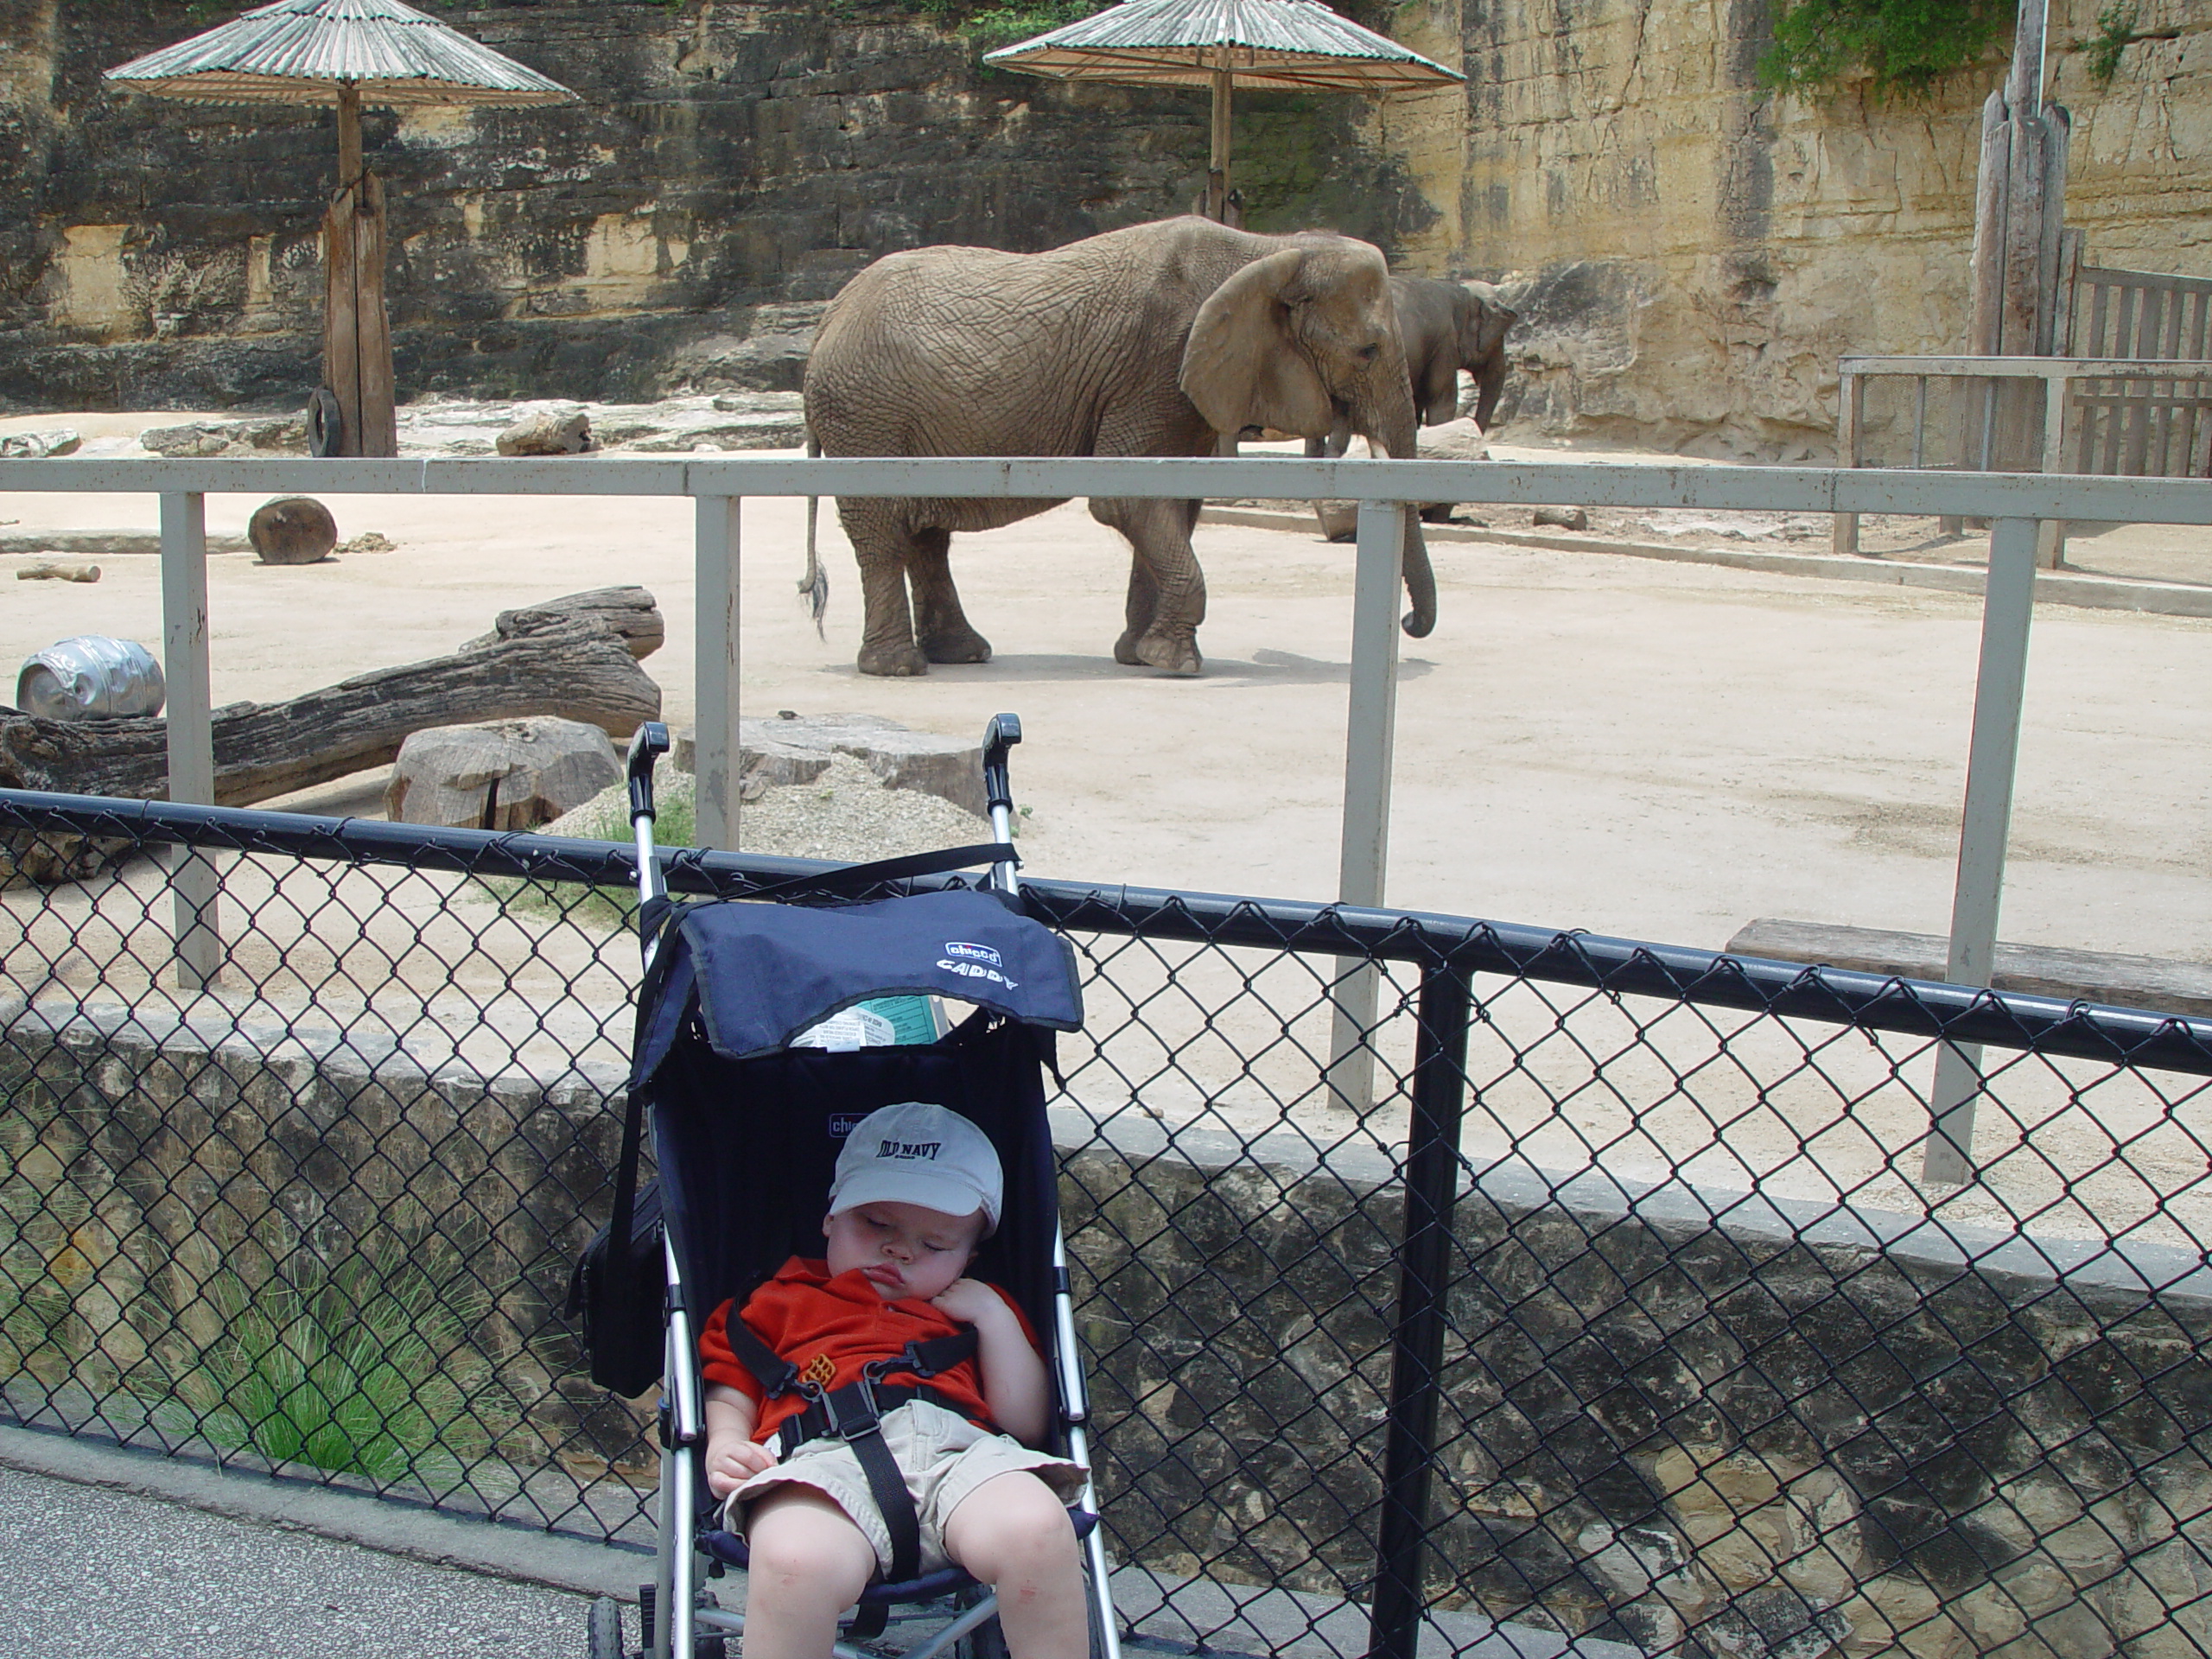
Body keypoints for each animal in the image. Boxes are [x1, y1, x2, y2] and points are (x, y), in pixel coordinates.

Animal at [796, 218, 1433, 677]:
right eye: (1368, 351)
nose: (1407, 622)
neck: (1269, 249)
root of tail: (827, 318)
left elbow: (1177, 504)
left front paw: (1140, 655)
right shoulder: (1155, 367)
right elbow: (1127, 502)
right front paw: (1175, 664)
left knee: (927, 536)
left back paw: (963, 655)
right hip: (864, 413)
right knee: (884, 532)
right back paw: (899, 669)